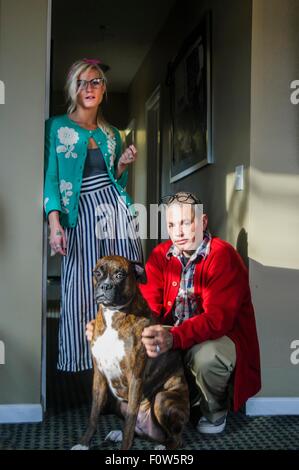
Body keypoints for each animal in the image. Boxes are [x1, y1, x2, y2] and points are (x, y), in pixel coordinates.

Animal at [72, 255, 190, 450]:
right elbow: (94, 415)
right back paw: (119, 434)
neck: (114, 316)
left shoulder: (135, 377)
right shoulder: (99, 376)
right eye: (98, 273)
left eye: (120, 275)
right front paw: (83, 443)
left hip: (162, 399)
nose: (105, 286)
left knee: (175, 437)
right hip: (120, 403)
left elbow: (129, 424)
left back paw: (164, 446)